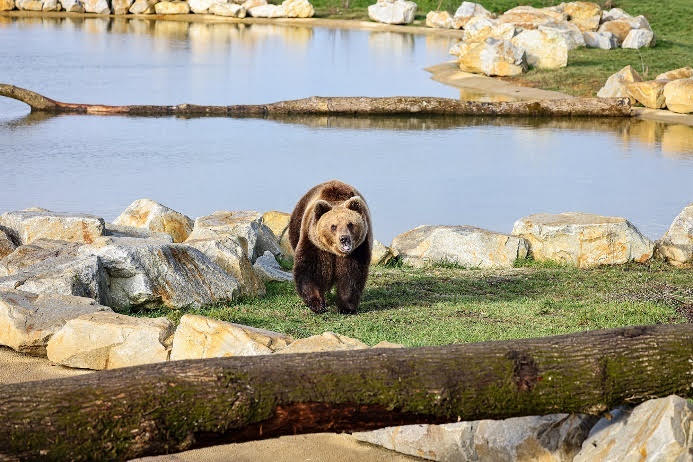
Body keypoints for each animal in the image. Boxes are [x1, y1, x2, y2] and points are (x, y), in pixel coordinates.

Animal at [288, 180, 374, 314]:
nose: (344, 238)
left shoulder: (358, 250)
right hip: (297, 225)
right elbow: (308, 271)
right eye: (333, 226)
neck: (335, 252)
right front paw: (317, 304)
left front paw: (346, 307)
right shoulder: (314, 245)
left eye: (350, 224)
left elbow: (351, 275)